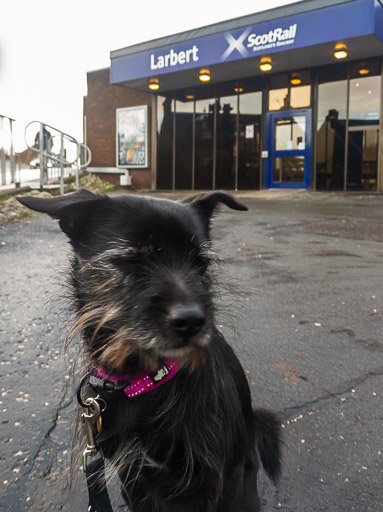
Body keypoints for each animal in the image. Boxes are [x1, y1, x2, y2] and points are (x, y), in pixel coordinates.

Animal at [18, 191, 282, 512]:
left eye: (200, 264)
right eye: (131, 259)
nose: (192, 320)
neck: (144, 381)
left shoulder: (221, 478)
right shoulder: (132, 475)